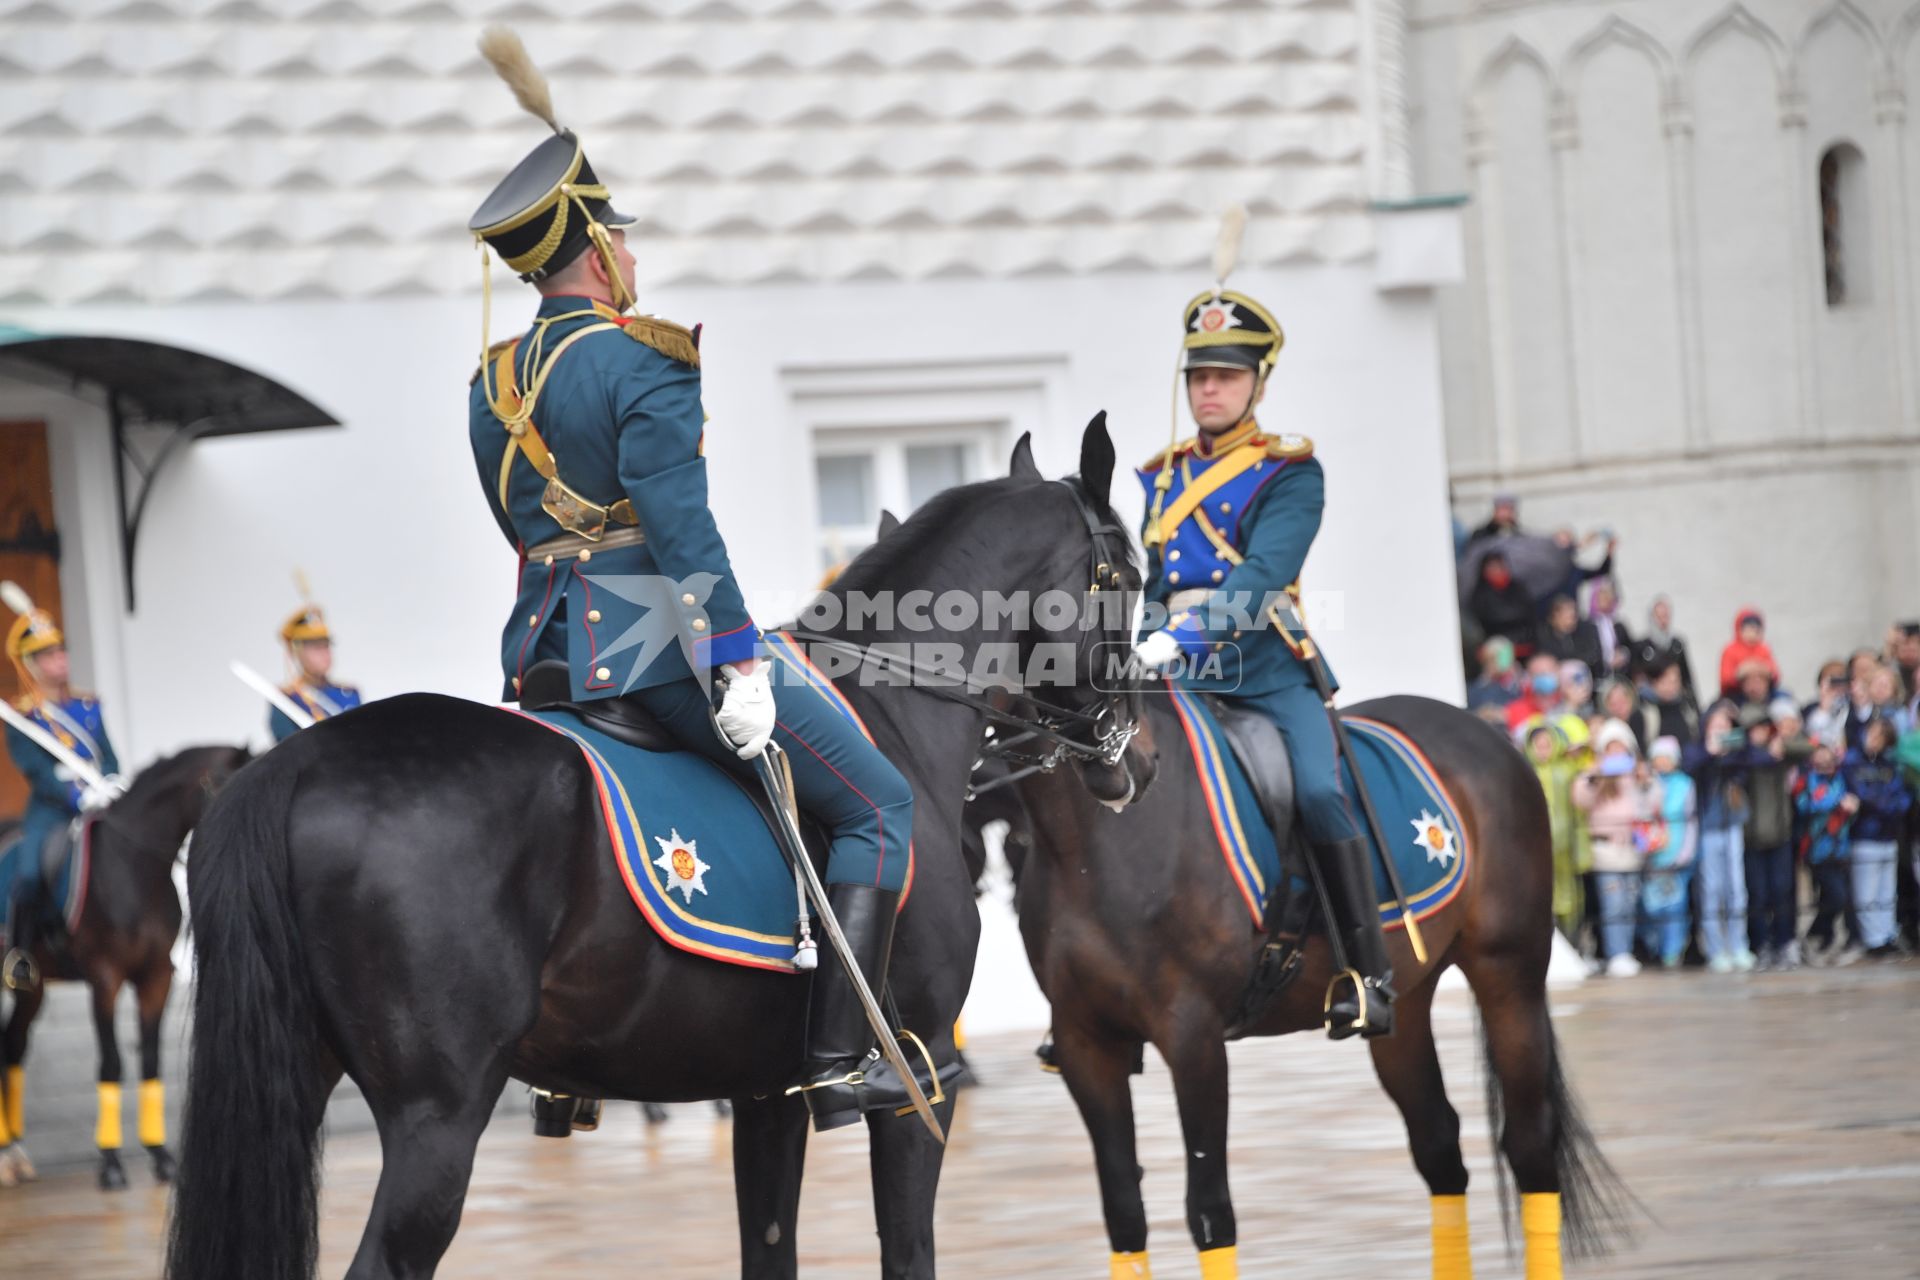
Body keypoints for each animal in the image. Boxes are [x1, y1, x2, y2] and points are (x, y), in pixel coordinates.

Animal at [0, 744, 251, 1197]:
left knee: (12, 1044)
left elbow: (150, 1059)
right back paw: (7, 1155)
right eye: (227, 787)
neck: (134, 867)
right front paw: (112, 1162)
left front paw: (161, 1156)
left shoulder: (157, 978)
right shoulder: (105, 978)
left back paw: (15, 1155)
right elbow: (112, 1061)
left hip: (33, 987)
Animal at [165, 420, 1144, 1280]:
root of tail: (291, 764)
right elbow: (908, 1254)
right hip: (437, 1115)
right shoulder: (919, 1078)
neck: (895, 713)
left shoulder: (765, 1095)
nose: (1133, 751)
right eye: (1130, 576)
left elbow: (770, 1251)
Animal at [1013, 694, 1628, 1274]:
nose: (1127, 763)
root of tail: (1483, 730)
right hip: (1406, 1003)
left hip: (1509, 972)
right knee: (1438, 1144)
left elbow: (1210, 1213)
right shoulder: (1085, 1045)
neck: (1089, 844)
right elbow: (1123, 1214)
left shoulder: (1193, 1040)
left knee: (1529, 1145)